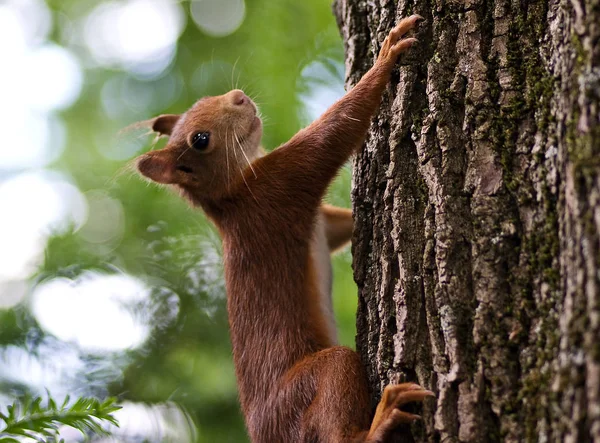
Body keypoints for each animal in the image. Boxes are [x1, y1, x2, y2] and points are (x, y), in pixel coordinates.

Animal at [135, 15, 432, 442]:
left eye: (202, 101)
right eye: (200, 139)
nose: (238, 97)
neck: (231, 195)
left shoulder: (314, 220)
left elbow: (338, 227)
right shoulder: (280, 186)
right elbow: (334, 132)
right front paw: (387, 54)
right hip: (305, 388)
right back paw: (381, 420)